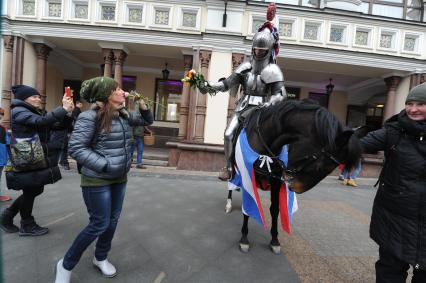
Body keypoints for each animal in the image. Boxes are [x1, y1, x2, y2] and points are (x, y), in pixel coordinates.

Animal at [231, 99, 362, 253]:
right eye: (320, 167)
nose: (296, 187)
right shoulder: (247, 177)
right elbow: (247, 208)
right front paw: (244, 238)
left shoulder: (275, 182)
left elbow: (275, 210)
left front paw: (274, 240)